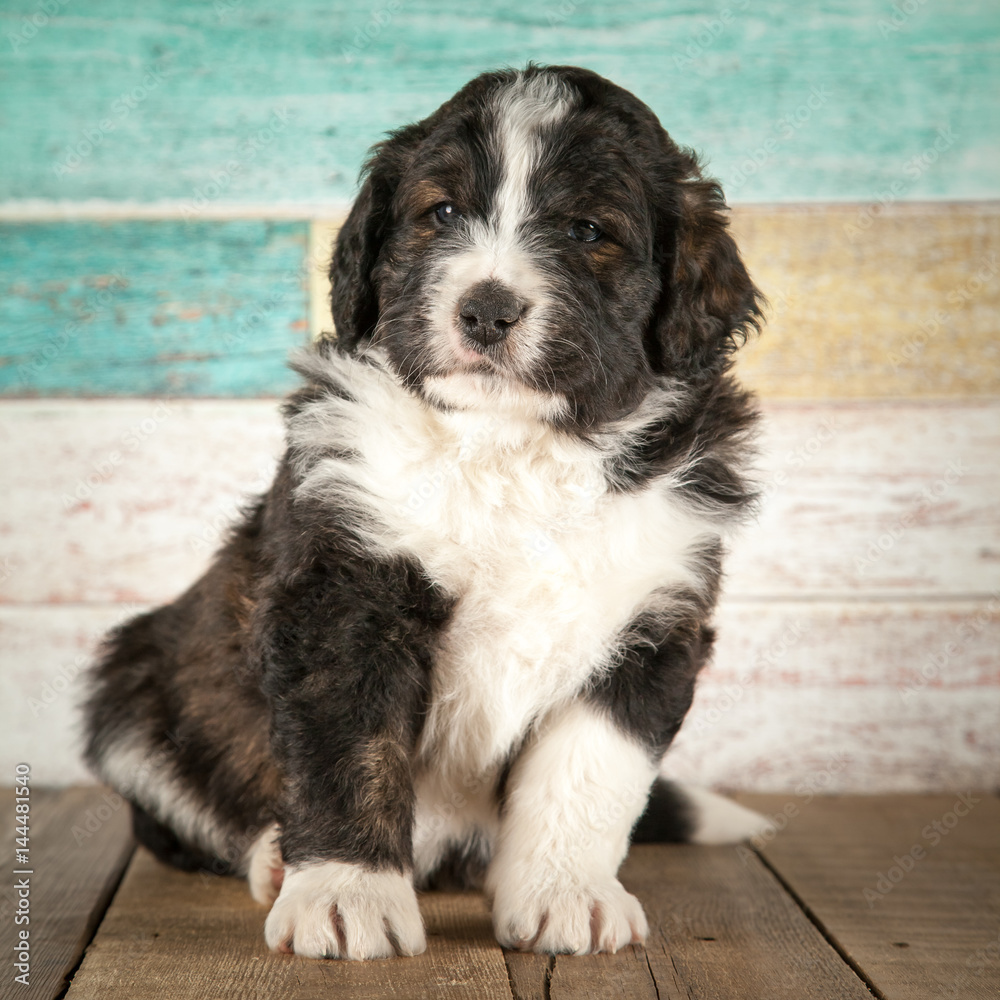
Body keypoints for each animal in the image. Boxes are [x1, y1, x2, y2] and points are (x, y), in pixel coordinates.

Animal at [88, 64, 772, 960]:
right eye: (441, 213)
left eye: (587, 229)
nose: (485, 310)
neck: (510, 449)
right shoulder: (345, 595)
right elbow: (353, 752)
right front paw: (345, 895)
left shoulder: (652, 619)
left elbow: (589, 772)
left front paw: (566, 894)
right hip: (136, 691)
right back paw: (275, 857)